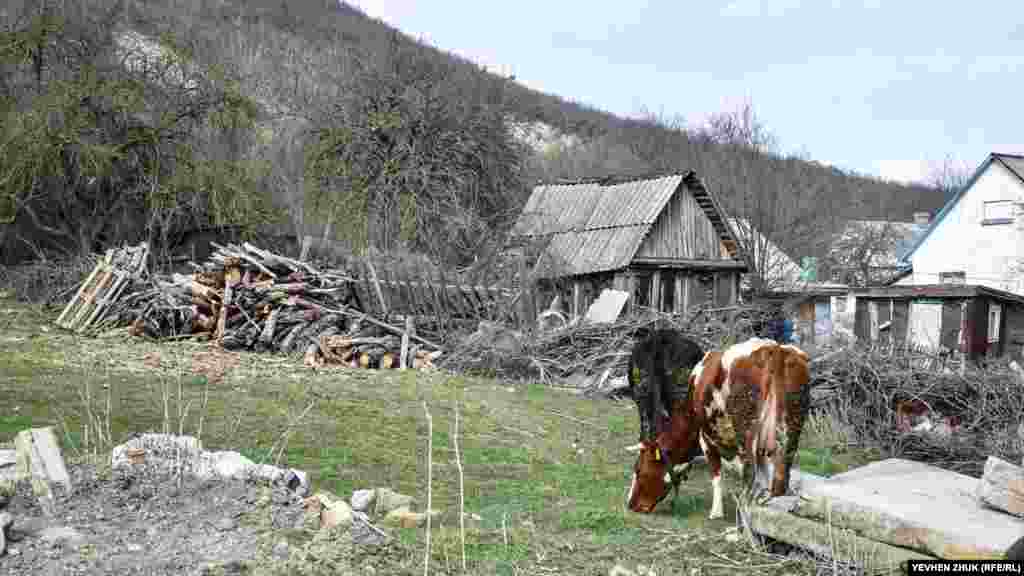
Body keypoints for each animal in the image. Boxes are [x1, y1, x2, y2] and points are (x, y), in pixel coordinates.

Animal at [618, 336, 811, 516]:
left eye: (639, 470)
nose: (630, 504)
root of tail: (774, 349)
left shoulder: (705, 437)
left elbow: (717, 474)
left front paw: (716, 512)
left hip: (748, 431)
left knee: (750, 473)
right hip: (792, 427)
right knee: (780, 477)